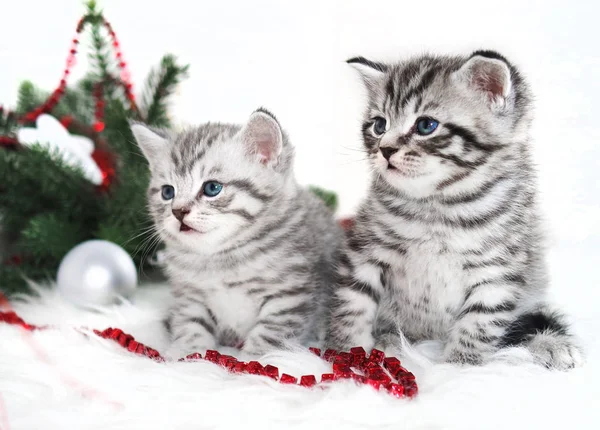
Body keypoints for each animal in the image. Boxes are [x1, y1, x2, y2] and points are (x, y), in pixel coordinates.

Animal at [134, 109, 344, 358]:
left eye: (212, 188)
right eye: (168, 192)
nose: (178, 211)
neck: (220, 257)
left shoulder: (289, 295)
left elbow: (271, 332)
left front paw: (254, 360)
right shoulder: (189, 294)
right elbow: (191, 324)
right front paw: (186, 354)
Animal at [326, 51, 584, 370]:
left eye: (426, 125)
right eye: (379, 125)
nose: (384, 149)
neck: (439, 205)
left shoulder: (497, 270)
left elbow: (478, 323)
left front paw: (459, 367)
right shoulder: (366, 250)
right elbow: (353, 304)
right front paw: (347, 353)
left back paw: (553, 344)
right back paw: (390, 343)